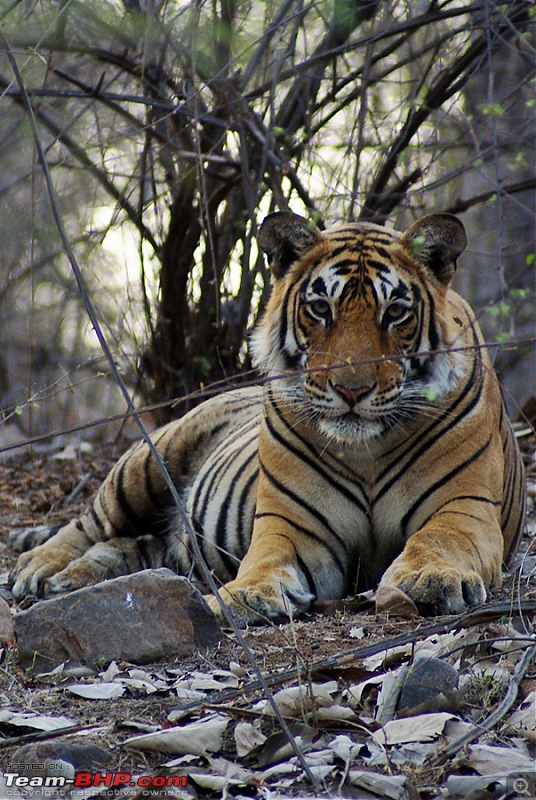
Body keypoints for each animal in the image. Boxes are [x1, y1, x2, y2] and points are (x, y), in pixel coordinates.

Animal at [10, 211, 524, 624]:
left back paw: (77, 576)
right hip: (147, 463)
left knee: (127, 545)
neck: (366, 451)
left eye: (395, 312)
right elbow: (266, 560)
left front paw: (429, 577)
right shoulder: (292, 524)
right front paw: (248, 595)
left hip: (168, 537)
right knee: (88, 524)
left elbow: (437, 541)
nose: (351, 390)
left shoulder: (464, 508)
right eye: (320, 308)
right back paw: (38, 568)